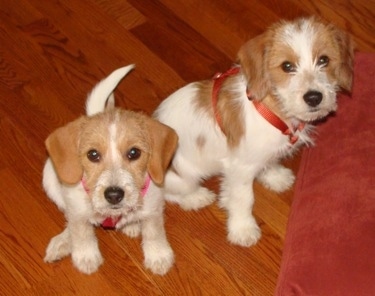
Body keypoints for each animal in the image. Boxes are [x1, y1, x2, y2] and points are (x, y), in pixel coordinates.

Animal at [43, 65, 179, 276]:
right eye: (92, 154)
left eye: (134, 153)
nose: (114, 195)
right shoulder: (77, 210)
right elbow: (81, 230)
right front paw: (86, 256)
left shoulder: (154, 206)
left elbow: (154, 231)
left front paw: (158, 255)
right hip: (50, 180)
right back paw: (63, 241)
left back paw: (132, 225)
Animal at [153, 16, 356, 247]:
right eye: (287, 66)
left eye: (323, 60)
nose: (314, 97)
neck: (272, 108)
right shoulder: (239, 168)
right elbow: (243, 199)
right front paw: (243, 229)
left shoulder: (262, 155)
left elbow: (268, 163)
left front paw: (276, 177)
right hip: (182, 179)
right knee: (168, 195)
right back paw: (196, 197)